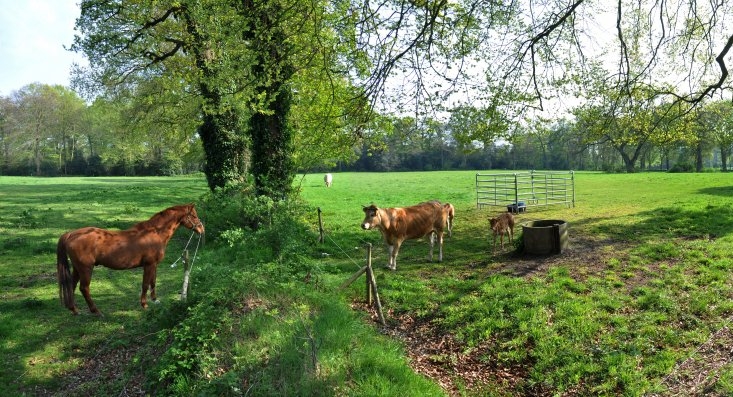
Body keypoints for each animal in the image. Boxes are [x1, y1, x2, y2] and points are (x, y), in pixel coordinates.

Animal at [55, 203, 204, 314]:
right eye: (194, 215)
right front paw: (144, 305)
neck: (155, 233)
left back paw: (74, 309)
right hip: (86, 269)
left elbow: (153, 282)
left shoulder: (154, 264)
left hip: (77, 268)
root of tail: (71, 234)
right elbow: (145, 284)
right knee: (84, 288)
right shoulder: (149, 264)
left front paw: (155, 300)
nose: (202, 229)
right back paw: (95, 311)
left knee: (72, 285)